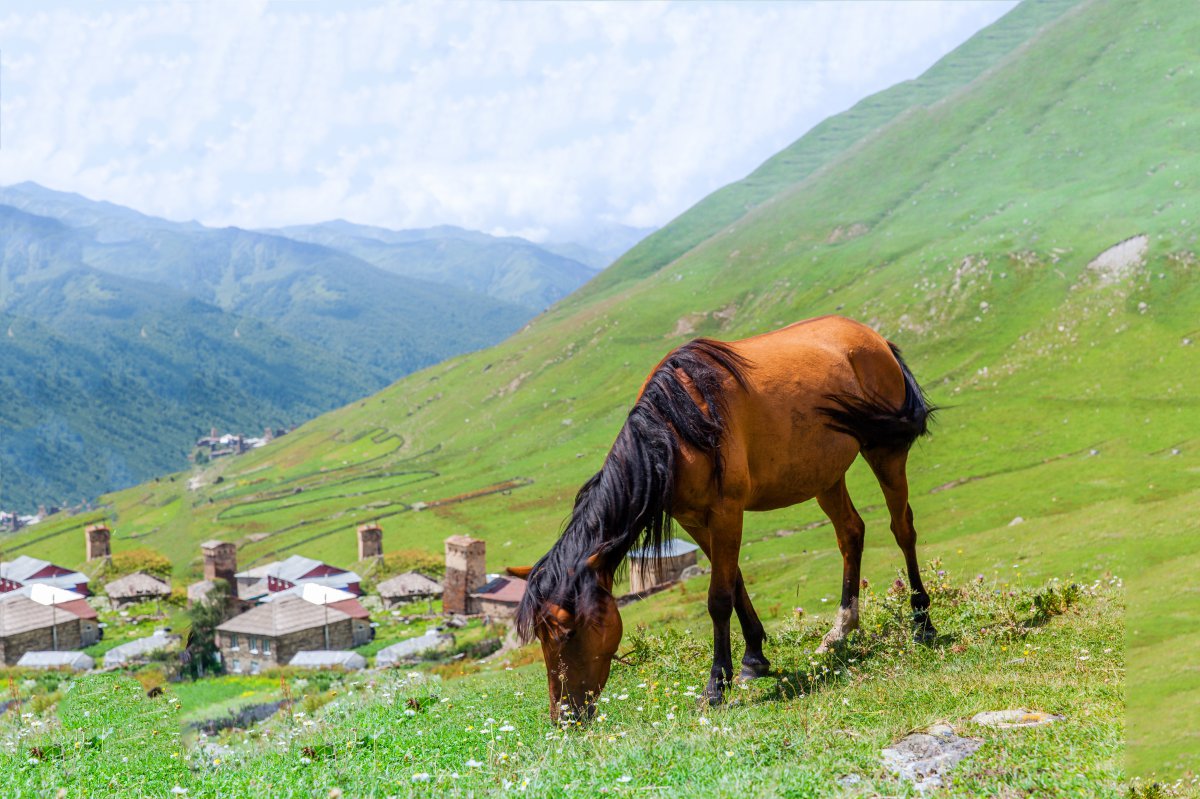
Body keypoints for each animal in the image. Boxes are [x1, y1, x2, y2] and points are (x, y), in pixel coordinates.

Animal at [516, 314, 936, 719]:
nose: (564, 717)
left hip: (886, 452)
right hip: (826, 476)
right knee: (851, 533)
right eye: (540, 635)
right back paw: (841, 630)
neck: (676, 429)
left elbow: (718, 598)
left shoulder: (727, 512)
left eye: (568, 632)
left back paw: (922, 622)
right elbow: (735, 584)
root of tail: (876, 339)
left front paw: (716, 686)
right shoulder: (695, 520)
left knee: (903, 529)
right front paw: (754, 659)